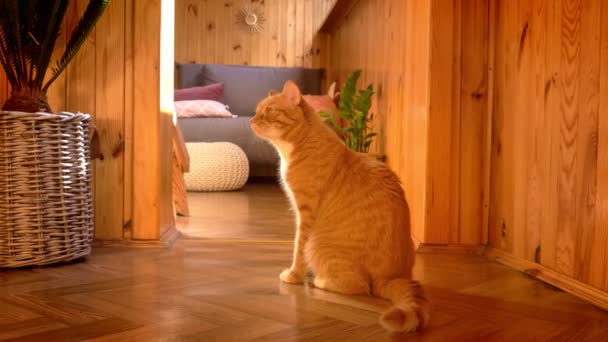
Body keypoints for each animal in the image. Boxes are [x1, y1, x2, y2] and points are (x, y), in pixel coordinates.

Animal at [249, 80, 430, 332]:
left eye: (269, 111)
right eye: (257, 110)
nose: (251, 120)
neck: (299, 145)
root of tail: (396, 275)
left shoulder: (305, 214)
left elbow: (298, 248)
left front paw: (295, 274)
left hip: (320, 246)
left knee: (361, 286)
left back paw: (320, 280)